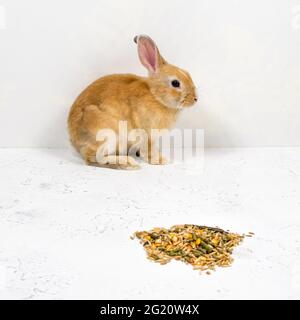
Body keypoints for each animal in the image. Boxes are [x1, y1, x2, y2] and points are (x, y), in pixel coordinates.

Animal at [69, 35, 198, 170]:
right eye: (175, 83)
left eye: (188, 74)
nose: (195, 99)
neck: (155, 97)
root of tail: (74, 139)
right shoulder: (147, 133)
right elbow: (148, 149)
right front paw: (159, 160)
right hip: (108, 135)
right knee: (94, 158)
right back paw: (127, 163)